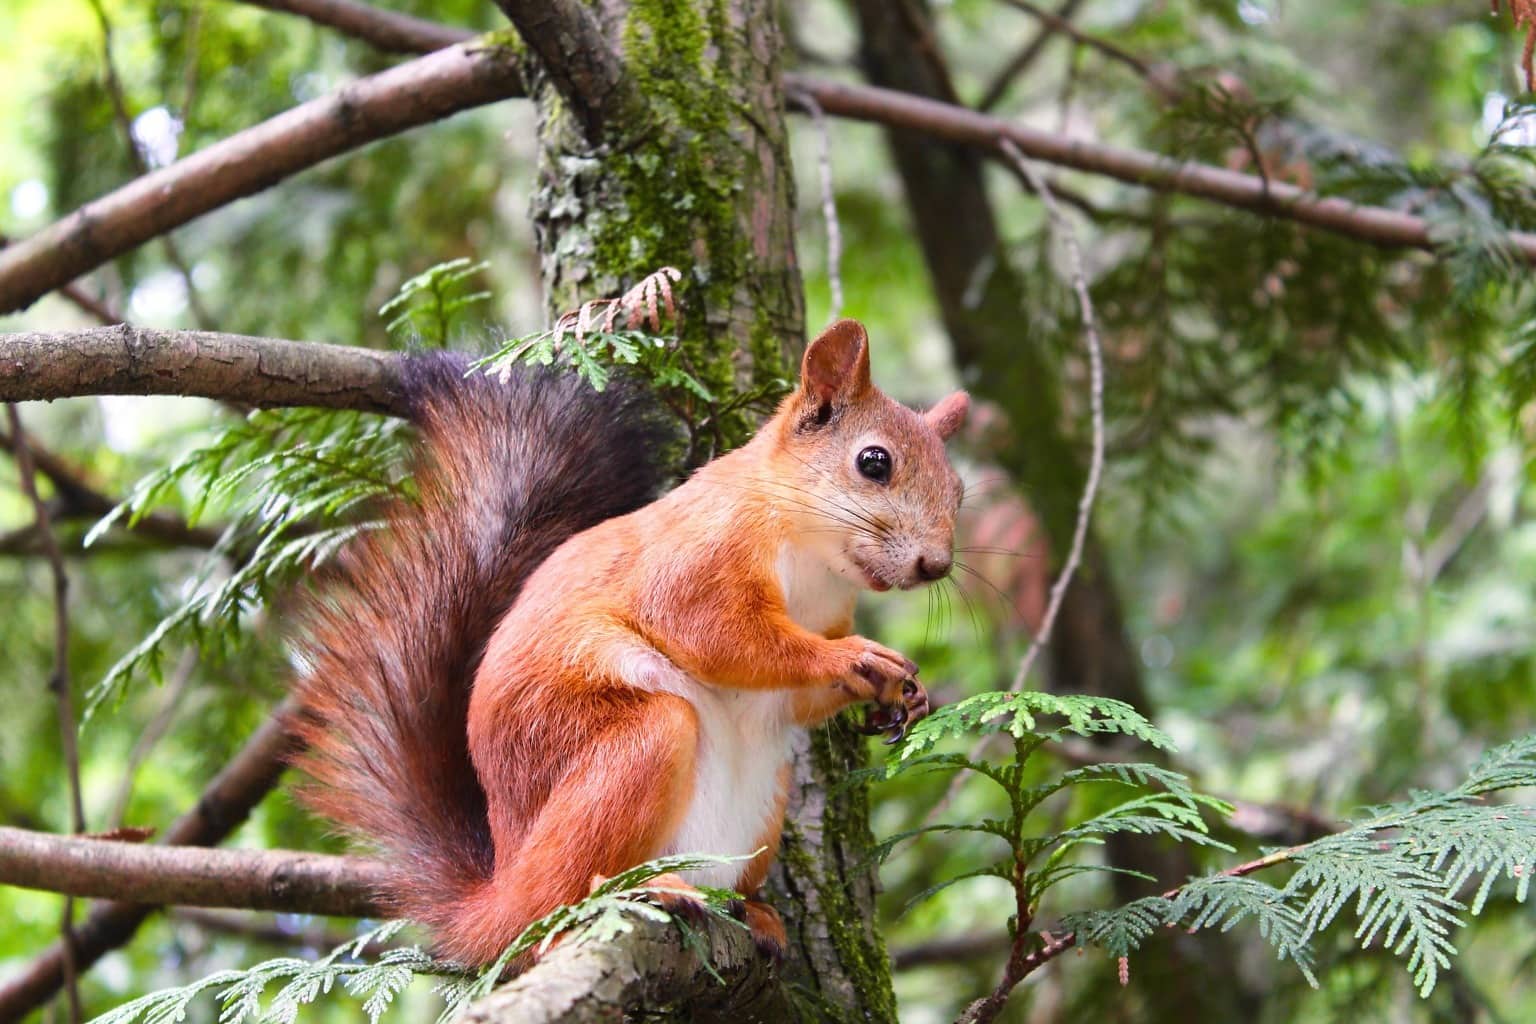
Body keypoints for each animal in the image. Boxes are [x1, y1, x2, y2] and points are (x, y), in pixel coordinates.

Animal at [288, 322, 964, 970]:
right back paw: (640, 891)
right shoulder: (698, 557)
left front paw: (900, 695)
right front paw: (857, 658)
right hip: (630, 747)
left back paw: (752, 912)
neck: (812, 557)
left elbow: (793, 696)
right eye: (873, 462)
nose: (936, 565)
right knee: (555, 908)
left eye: (958, 489)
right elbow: (721, 636)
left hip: (763, 803)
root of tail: (499, 896)